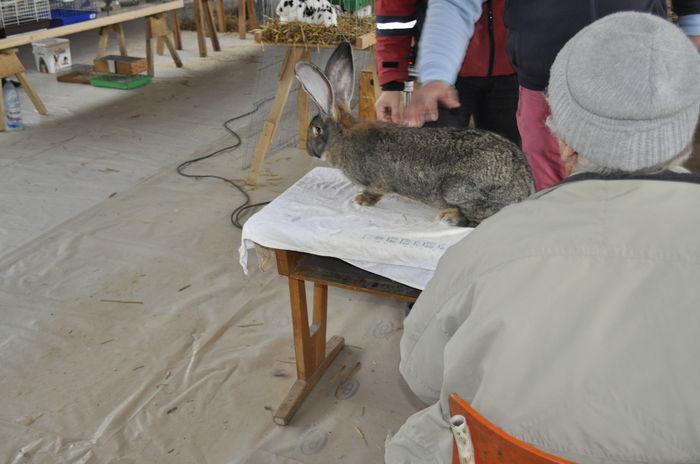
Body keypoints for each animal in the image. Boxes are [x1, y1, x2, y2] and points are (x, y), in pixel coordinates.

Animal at [292, 41, 532, 227]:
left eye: (317, 130)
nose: (309, 151)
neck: (343, 136)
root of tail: (526, 189)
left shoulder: (376, 182)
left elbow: (375, 193)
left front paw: (360, 200)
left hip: (458, 191)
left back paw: (449, 217)